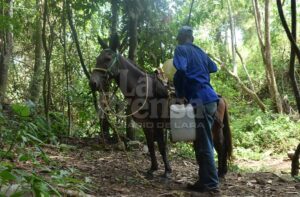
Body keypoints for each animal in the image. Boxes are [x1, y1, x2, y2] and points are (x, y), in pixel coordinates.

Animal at [89, 48, 232, 179]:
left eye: (107, 59)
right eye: (97, 59)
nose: (93, 83)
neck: (143, 90)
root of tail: (220, 98)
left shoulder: (156, 124)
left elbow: (162, 147)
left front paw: (167, 171)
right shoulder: (146, 125)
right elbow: (151, 146)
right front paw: (153, 169)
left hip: (215, 127)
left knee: (221, 146)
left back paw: (221, 172)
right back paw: (222, 171)